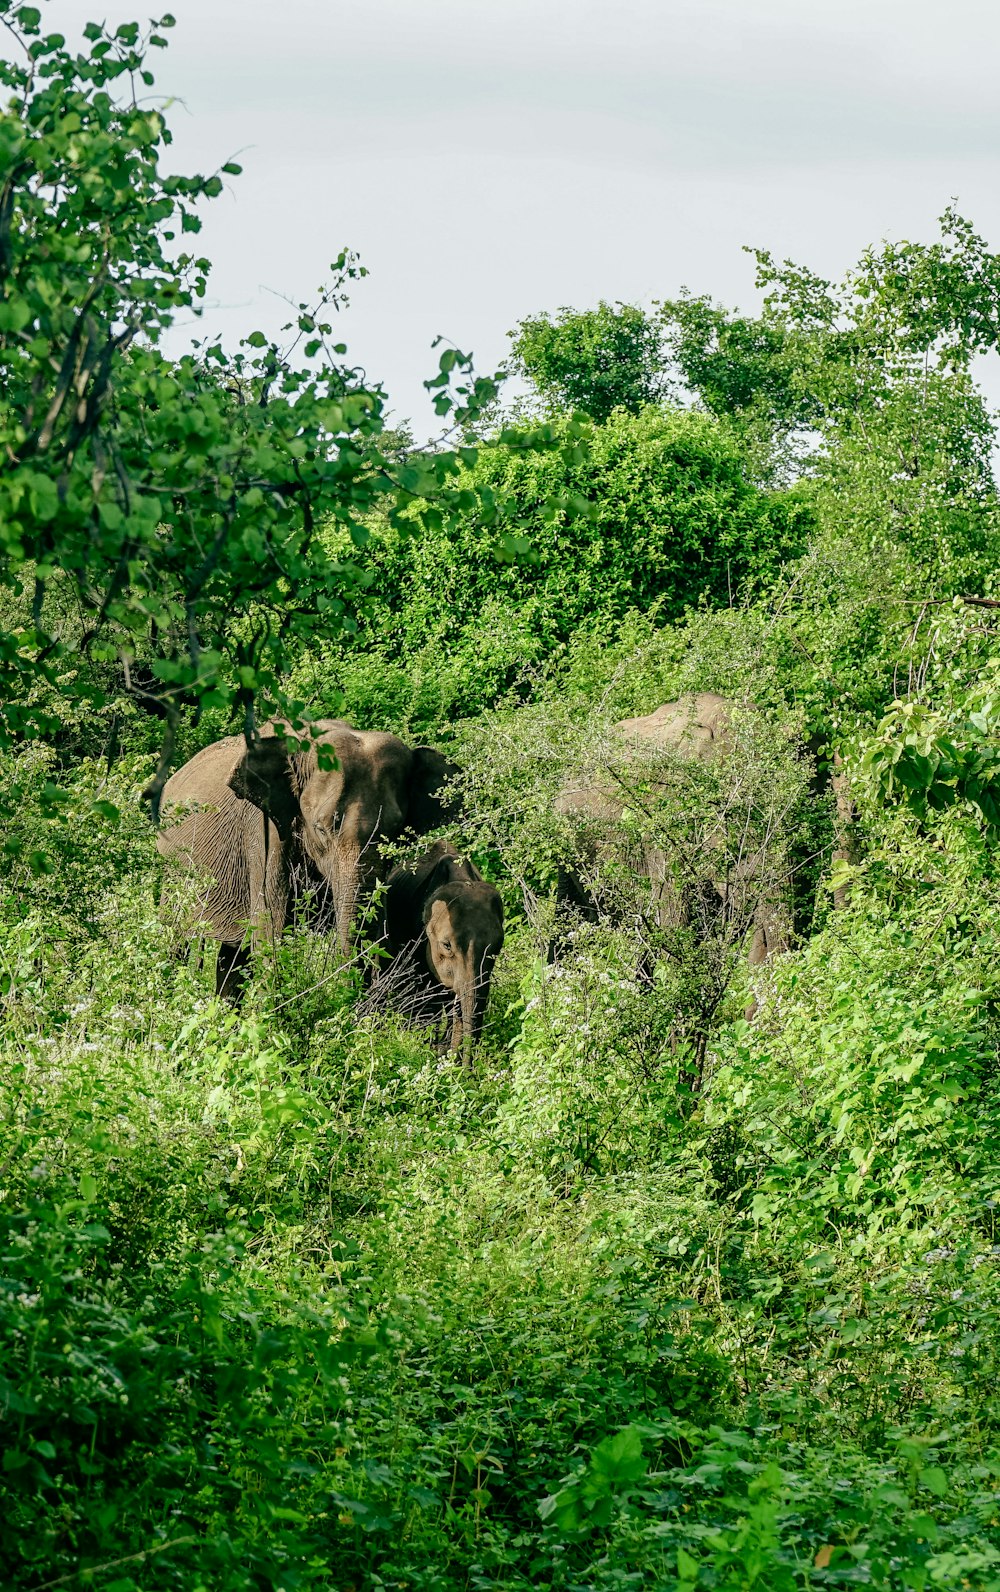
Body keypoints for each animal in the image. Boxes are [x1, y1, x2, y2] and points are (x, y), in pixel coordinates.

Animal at [148, 719, 458, 993]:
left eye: (396, 832)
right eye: (320, 828)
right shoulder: (263, 831)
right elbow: (270, 932)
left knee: (233, 955)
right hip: (173, 867)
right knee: (174, 936)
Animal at [377, 834, 503, 1057]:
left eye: (498, 947)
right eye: (447, 945)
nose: (467, 1066)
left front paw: (444, 1052)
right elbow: (425, 995)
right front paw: (427, 1048)